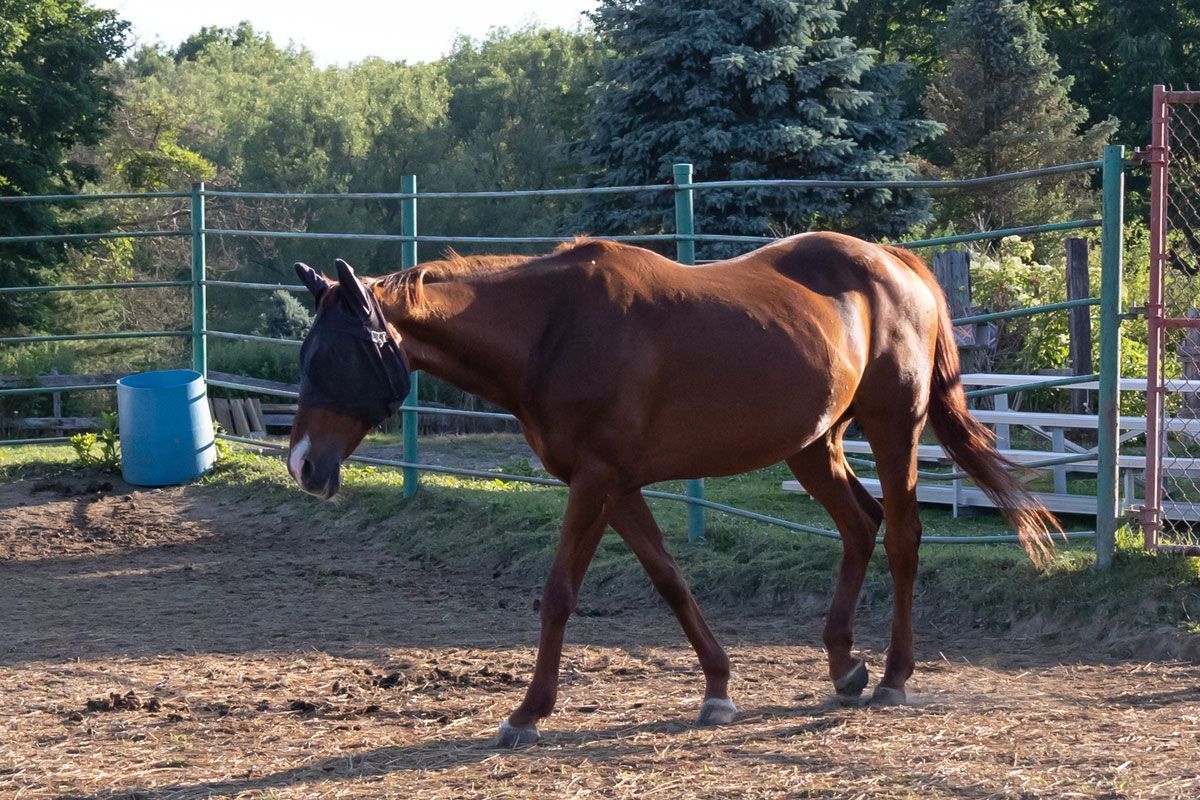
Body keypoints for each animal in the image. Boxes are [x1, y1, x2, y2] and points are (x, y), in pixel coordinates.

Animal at [286, 233, 1059, 747]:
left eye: (339, 352)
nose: (302, 465)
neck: (553, 328)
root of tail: (897, 264)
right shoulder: (616, 485)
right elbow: (669, 581)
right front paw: (717, 689)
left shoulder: (595, 481)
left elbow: (559, 593)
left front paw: (529, 712)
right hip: (813, 445)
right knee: (859, 526)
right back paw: (844, 667)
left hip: (893, 426)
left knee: (901, 536)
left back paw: (895, 674)